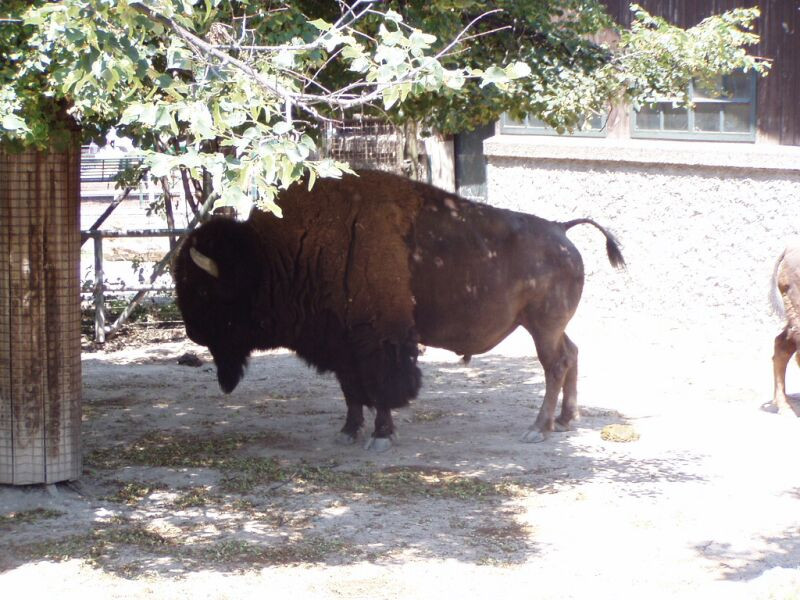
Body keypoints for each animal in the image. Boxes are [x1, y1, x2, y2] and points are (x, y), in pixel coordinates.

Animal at [173, 169, 624, 450]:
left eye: (205, 291)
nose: (192, 333)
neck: (276, 256)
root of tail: (561, 231)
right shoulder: (341, 345)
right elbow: (352, 391)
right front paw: (347, 432)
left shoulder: (378, 342)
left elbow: (381, 389)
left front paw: (381, 436)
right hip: (542, 325)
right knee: (572, 354)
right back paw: (566, 420)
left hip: (542, 327)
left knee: (555, 365)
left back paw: (538, 429)